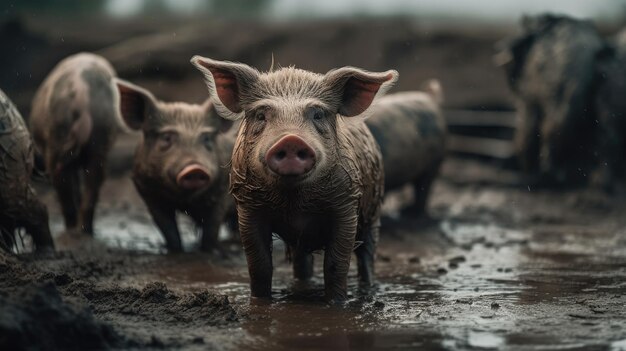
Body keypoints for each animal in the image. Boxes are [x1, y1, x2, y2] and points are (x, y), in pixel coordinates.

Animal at [29, 53, 120, 234]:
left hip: (58, 131)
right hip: (101, 133)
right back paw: (86, 230)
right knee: (94, 180)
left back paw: (71, 229)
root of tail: (82, 89)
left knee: (62, 181)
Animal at [114, 79, 236, 254]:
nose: (195, 169)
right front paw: (174, 251)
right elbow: (167, 229)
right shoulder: (148, 193)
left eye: (206, 138)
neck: (185, 200)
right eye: (166, 138)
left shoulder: (222, 191)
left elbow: (211, 229)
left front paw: (209, 251)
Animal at [191, 55, 394, 302]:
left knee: (367, 255)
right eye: (261, 115)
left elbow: (336, 264)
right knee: (302, 261)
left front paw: (336, 302)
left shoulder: (346, 205)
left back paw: (368, 288)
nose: (290, 140)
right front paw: (260, 302)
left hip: (374, 212)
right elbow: (259, 265)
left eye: (318, 114)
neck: (295, 202)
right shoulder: (248, 208)